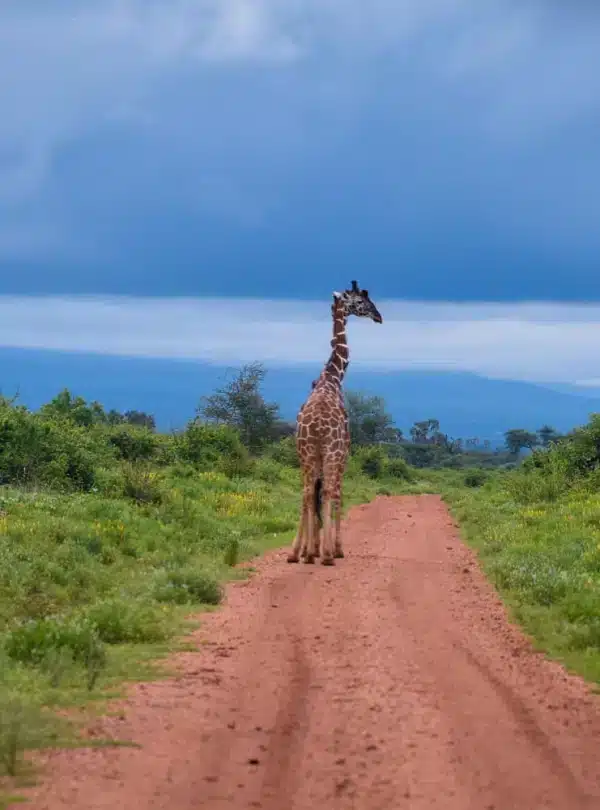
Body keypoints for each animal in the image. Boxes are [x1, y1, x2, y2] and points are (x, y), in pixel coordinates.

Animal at [287, 280, 383, 566]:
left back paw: (305, 552)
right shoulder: (344, 451)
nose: (379, 316)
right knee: (328, 490)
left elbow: (314, 495)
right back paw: (327, 554)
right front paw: (334, 548)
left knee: (308, 491)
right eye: (361, 301)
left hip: (306, 452)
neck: (332, 377)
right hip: (331, 451)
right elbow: (337, 492)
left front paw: (309, 548)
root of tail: (317, 426)